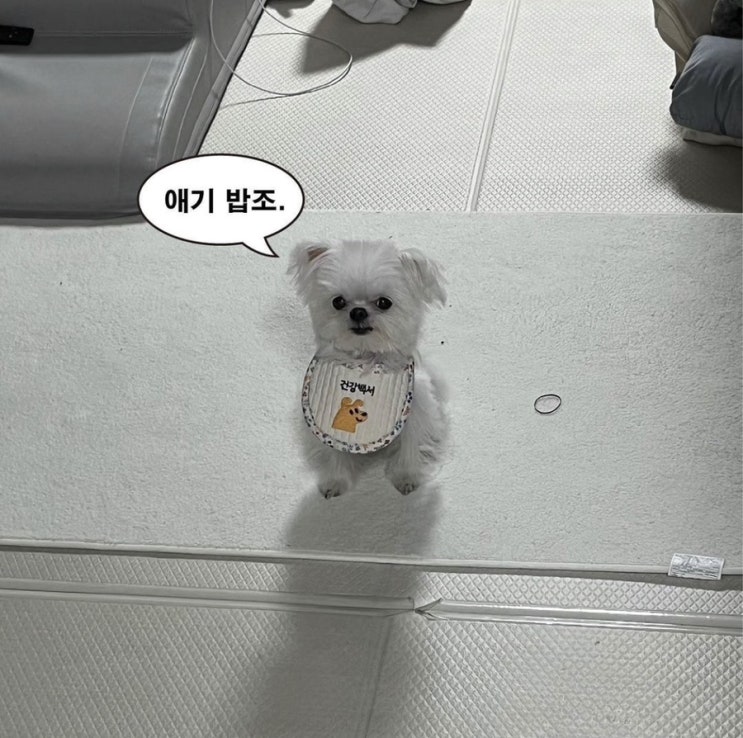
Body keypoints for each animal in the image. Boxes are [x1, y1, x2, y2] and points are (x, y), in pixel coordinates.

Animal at [288, 240, 447, 498]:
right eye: (338, 302)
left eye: (384, 302)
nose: (358, 311)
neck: (365, 359)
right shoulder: (326, 425)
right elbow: (335, 452)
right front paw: (336, 482)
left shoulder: (415, 415)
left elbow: (410, 447)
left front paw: (406, 477)